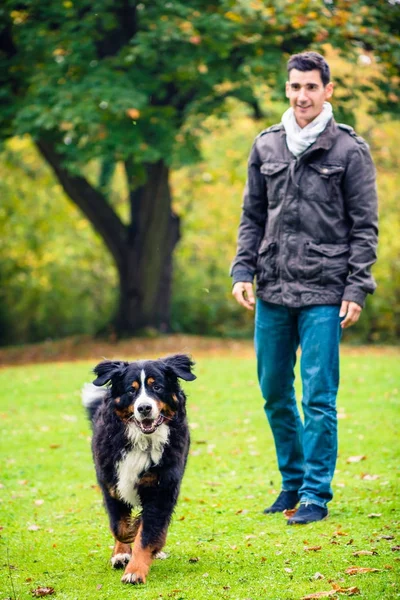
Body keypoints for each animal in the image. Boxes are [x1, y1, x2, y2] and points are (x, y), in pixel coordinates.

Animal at [82, 354, 196, 584]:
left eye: (157, 387)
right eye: (131, 390)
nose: (144, 408)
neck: (142, 440)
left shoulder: (161, 488)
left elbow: (147, 534)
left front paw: (135, 570)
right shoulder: (111, 483)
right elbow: (120, 527)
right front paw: (126, 546)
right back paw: (120, 554)